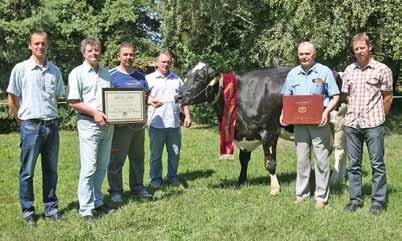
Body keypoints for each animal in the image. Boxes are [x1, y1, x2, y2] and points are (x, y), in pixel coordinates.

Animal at [176, 61, 292, 195]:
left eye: (200, 78)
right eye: (187, 75)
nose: (177, 97)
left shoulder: (270, 131)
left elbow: (270, 162)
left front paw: (275, 189)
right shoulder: (245, 134)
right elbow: (243, 160)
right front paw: (241, 182)